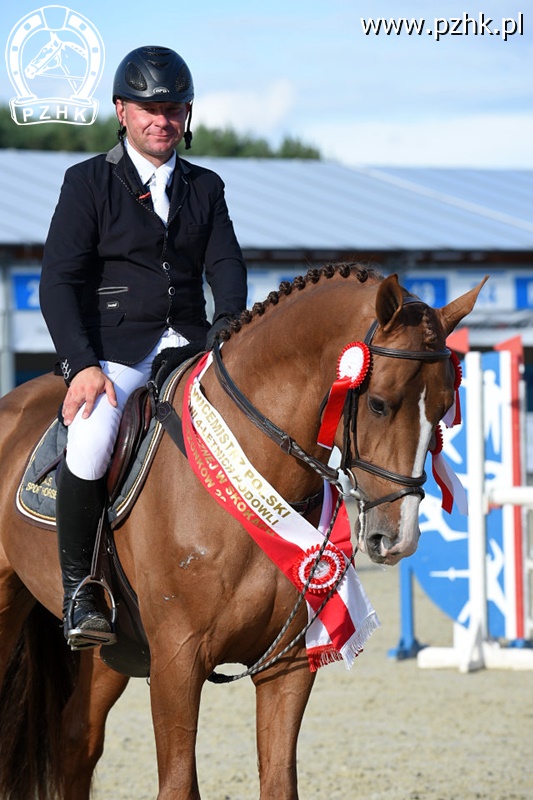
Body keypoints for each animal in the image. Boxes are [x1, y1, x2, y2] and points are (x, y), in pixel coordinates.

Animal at [0, 266, 482, 796]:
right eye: (378, 404)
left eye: (444, 409)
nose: (397, 538)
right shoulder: (176, 661)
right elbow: (178, 784)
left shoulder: (287, 667)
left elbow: (279, 780)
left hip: (113, 649)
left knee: (76, 739)